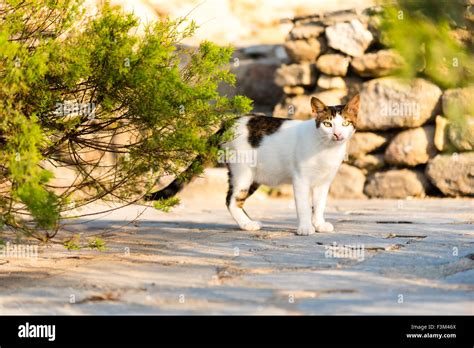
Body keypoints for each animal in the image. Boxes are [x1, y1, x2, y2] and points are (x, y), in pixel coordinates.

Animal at [145, 94, 360, 237]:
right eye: (327, 124)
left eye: (346, 123)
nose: (337, 135)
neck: (327, 149)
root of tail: (227, 123)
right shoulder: (301, 179)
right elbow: (304, 206)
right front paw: (306, 227)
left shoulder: (324, 182)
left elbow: (320, 204)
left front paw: (319, 224)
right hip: (243, 172)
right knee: (231, 200)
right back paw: (247, 225)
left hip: (254, 176)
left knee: (235, 199)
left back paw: (246, 222)